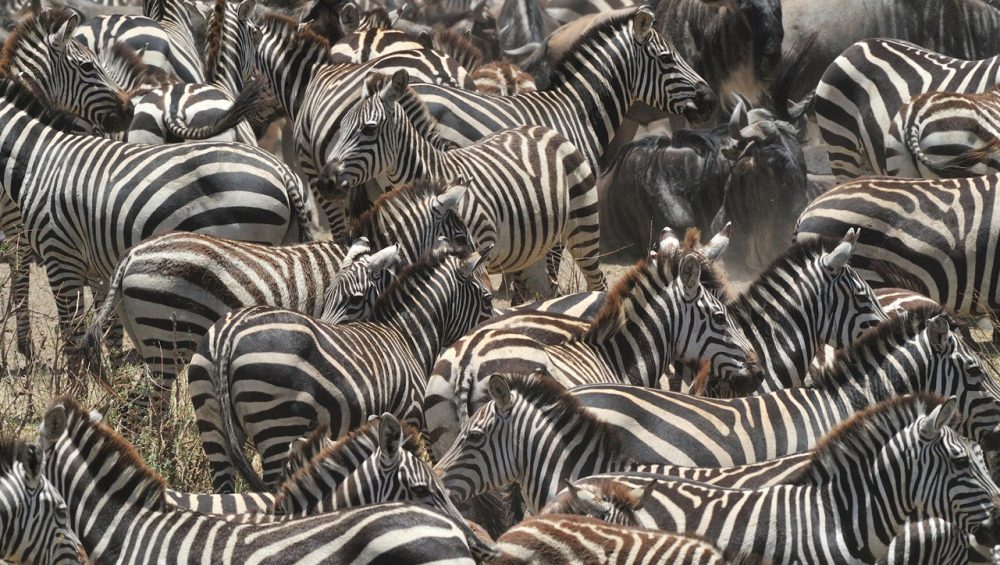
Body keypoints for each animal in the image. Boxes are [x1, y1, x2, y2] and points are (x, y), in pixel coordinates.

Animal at [0, 78, 317, 363]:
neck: (38, 161)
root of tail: (282, 171)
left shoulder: (60, 256)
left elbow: (72, 338)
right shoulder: (95, 266)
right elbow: (106, 329)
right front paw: (111, 379)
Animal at [188, 243, 493, 492]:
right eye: (488, 299)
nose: (490, 329)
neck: (404, 336)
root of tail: (229, 332)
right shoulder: (407, 417)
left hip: (212, 421)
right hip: (276, 425)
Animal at [324, 69, 606, 295]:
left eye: (369, 129)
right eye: (342, 125)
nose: (327, 181)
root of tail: (544, 129)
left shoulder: (480, 248)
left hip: (583, 226)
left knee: (598, 282)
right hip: (529, 251)